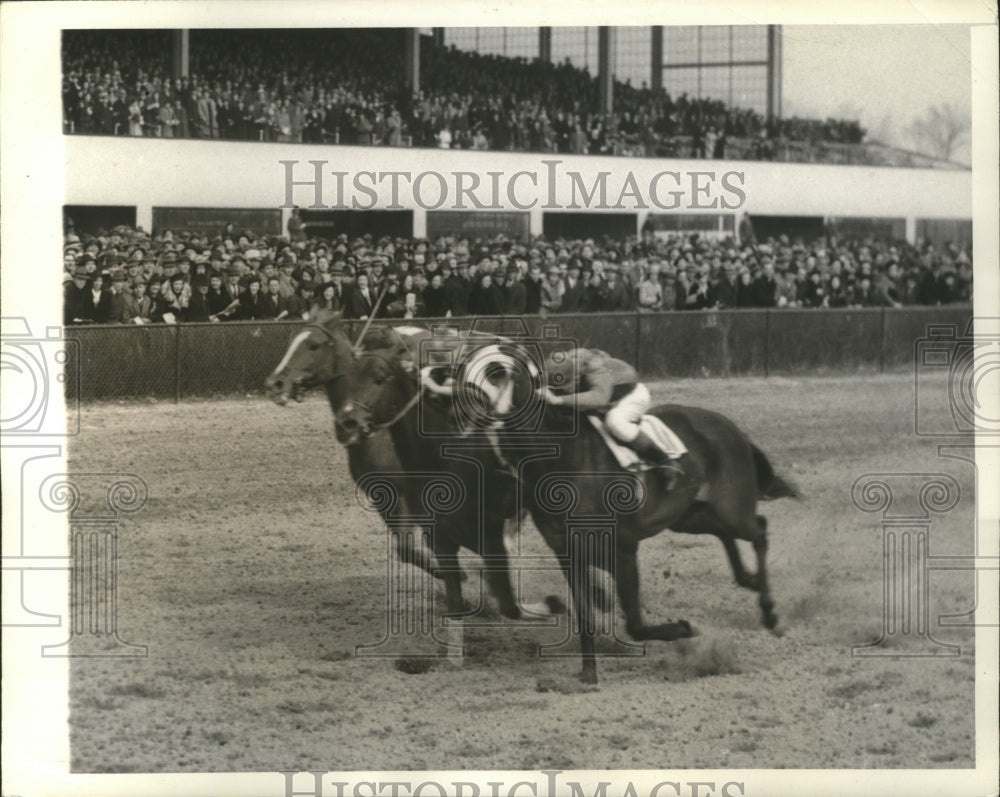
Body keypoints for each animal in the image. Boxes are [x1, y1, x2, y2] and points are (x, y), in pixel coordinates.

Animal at [336, 332, 796, 680]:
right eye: (346, 377)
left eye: (378, 377)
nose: (346, 423)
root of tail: (729, 426)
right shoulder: (532, 545)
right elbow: (483, 604)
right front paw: (587, 670)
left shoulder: (606, 545)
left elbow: (617, 618)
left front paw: (678, 628)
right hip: (691, 515)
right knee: (731, 532)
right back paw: (748, 582)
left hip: (727, 506)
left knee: (758, 528)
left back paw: (771, 612)